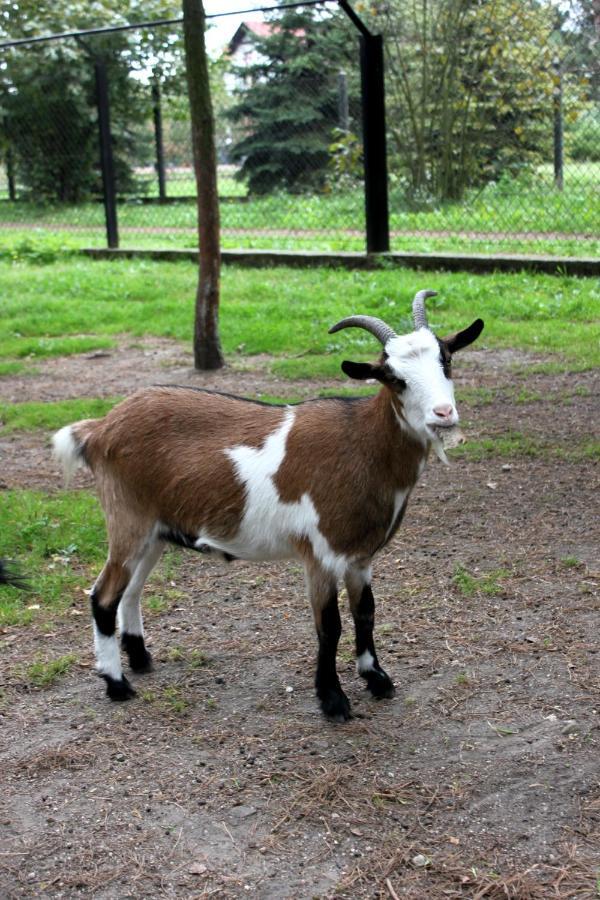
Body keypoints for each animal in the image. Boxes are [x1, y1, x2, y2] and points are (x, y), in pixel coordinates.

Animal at [51, 292, 482, 720]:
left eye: (446, 359)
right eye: (394, 378)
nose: (443, 414)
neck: (362, 443)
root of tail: (99, 429)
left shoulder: (360, 557)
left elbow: (366, 613)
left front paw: (376, 679)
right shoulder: (321, 554)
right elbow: (330, 626)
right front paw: (332, 699)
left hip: (156, 531)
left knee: (132, 592)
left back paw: (140, 660)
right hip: (128, 519)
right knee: (104, 596)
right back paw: (116, 684)